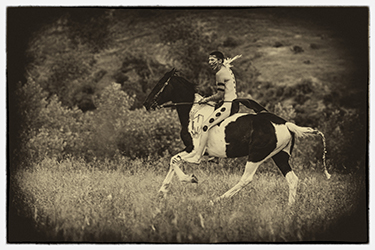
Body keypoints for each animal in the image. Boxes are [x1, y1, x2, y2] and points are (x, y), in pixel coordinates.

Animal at [142, 68, 330, 205]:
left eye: (161, 84)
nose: (146, 104)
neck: (193, 112)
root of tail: (286, 124)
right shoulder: (192, 150)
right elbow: (173, 162)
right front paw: (161, 193)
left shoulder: (194, 152)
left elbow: (174, 161)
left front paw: (190, 179)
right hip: (279, 156)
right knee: (292, 180)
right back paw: (289, 209)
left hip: (257, 155)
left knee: (246, 179)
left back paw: (216, 200)